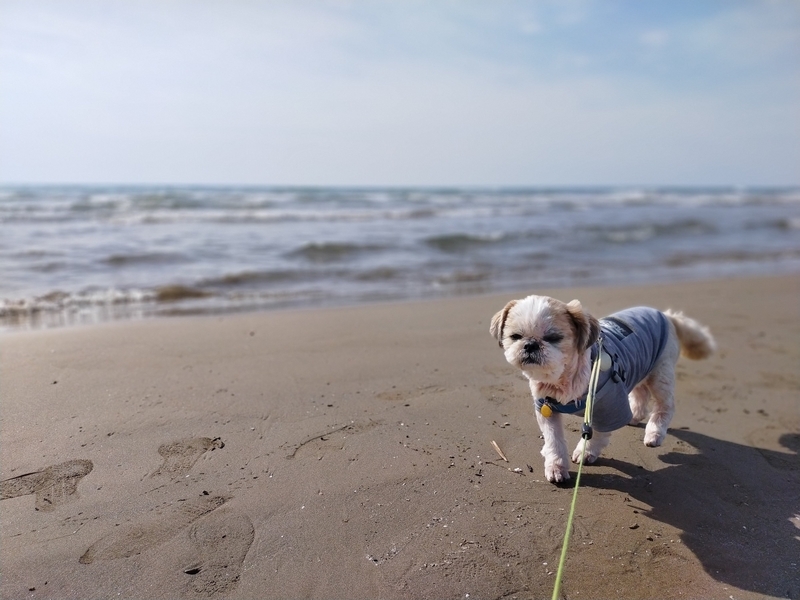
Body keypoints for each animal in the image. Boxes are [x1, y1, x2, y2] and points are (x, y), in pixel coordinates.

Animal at [490, 298, 716, 486]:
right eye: (515, 337)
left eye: (553, 337)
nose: (530, 345)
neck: (562, 380)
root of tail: (666, 316)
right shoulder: (546, 408)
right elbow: (554, 440)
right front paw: (556, 466)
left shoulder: (608, 406)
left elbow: (596, 434)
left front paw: (585, 452)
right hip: (641, 367)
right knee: (640, 393)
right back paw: (634, 416)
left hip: (660, 373)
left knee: (664, 405)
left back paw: (655, 433)